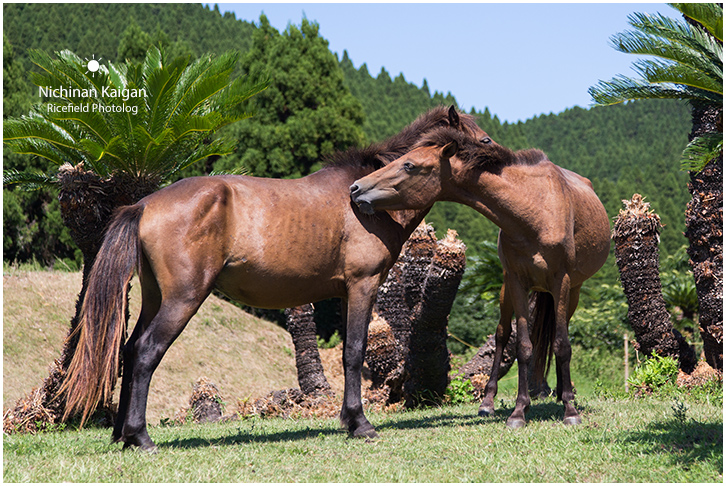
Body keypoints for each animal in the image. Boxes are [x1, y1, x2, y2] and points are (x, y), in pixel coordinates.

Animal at [58, 105, 490, 448]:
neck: (369, 202)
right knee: (147, 352)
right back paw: (141, 437)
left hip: (154, 298)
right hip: (183, 299)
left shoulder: (347, 292)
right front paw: (359, 424)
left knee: (130, 350)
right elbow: (354, 352)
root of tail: (144, 204)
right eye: (484, 140)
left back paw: (122, 435)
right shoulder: (362, 285)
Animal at [350, 126, 612, 430]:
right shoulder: (517, 282)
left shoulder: (562, 282)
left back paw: (561, 393)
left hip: (572, 292)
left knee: (560, 332)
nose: (356, 188)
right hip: (507, 289)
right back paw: (488, 402)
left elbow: (562, 344)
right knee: (501, 335)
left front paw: (570, 409)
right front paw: (518, 412)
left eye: (409, 165)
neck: (535, 209)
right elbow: (523, 346)